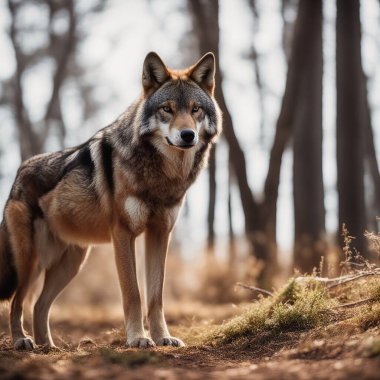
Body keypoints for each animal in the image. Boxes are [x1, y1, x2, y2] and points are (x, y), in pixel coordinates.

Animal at [0, 52, 223, 348]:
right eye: (167, 109)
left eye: (195, 109)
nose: (188, 135)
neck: (164, 176)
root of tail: (19, 172)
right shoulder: (123, 234)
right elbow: (133, 294)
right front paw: (138, 339)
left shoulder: (160, 234)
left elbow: (156, 296)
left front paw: (162, 337)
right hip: (30, 262)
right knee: (17, 303)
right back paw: (22, 341)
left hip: (70, 265)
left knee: (38, 305)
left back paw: (47, 347)